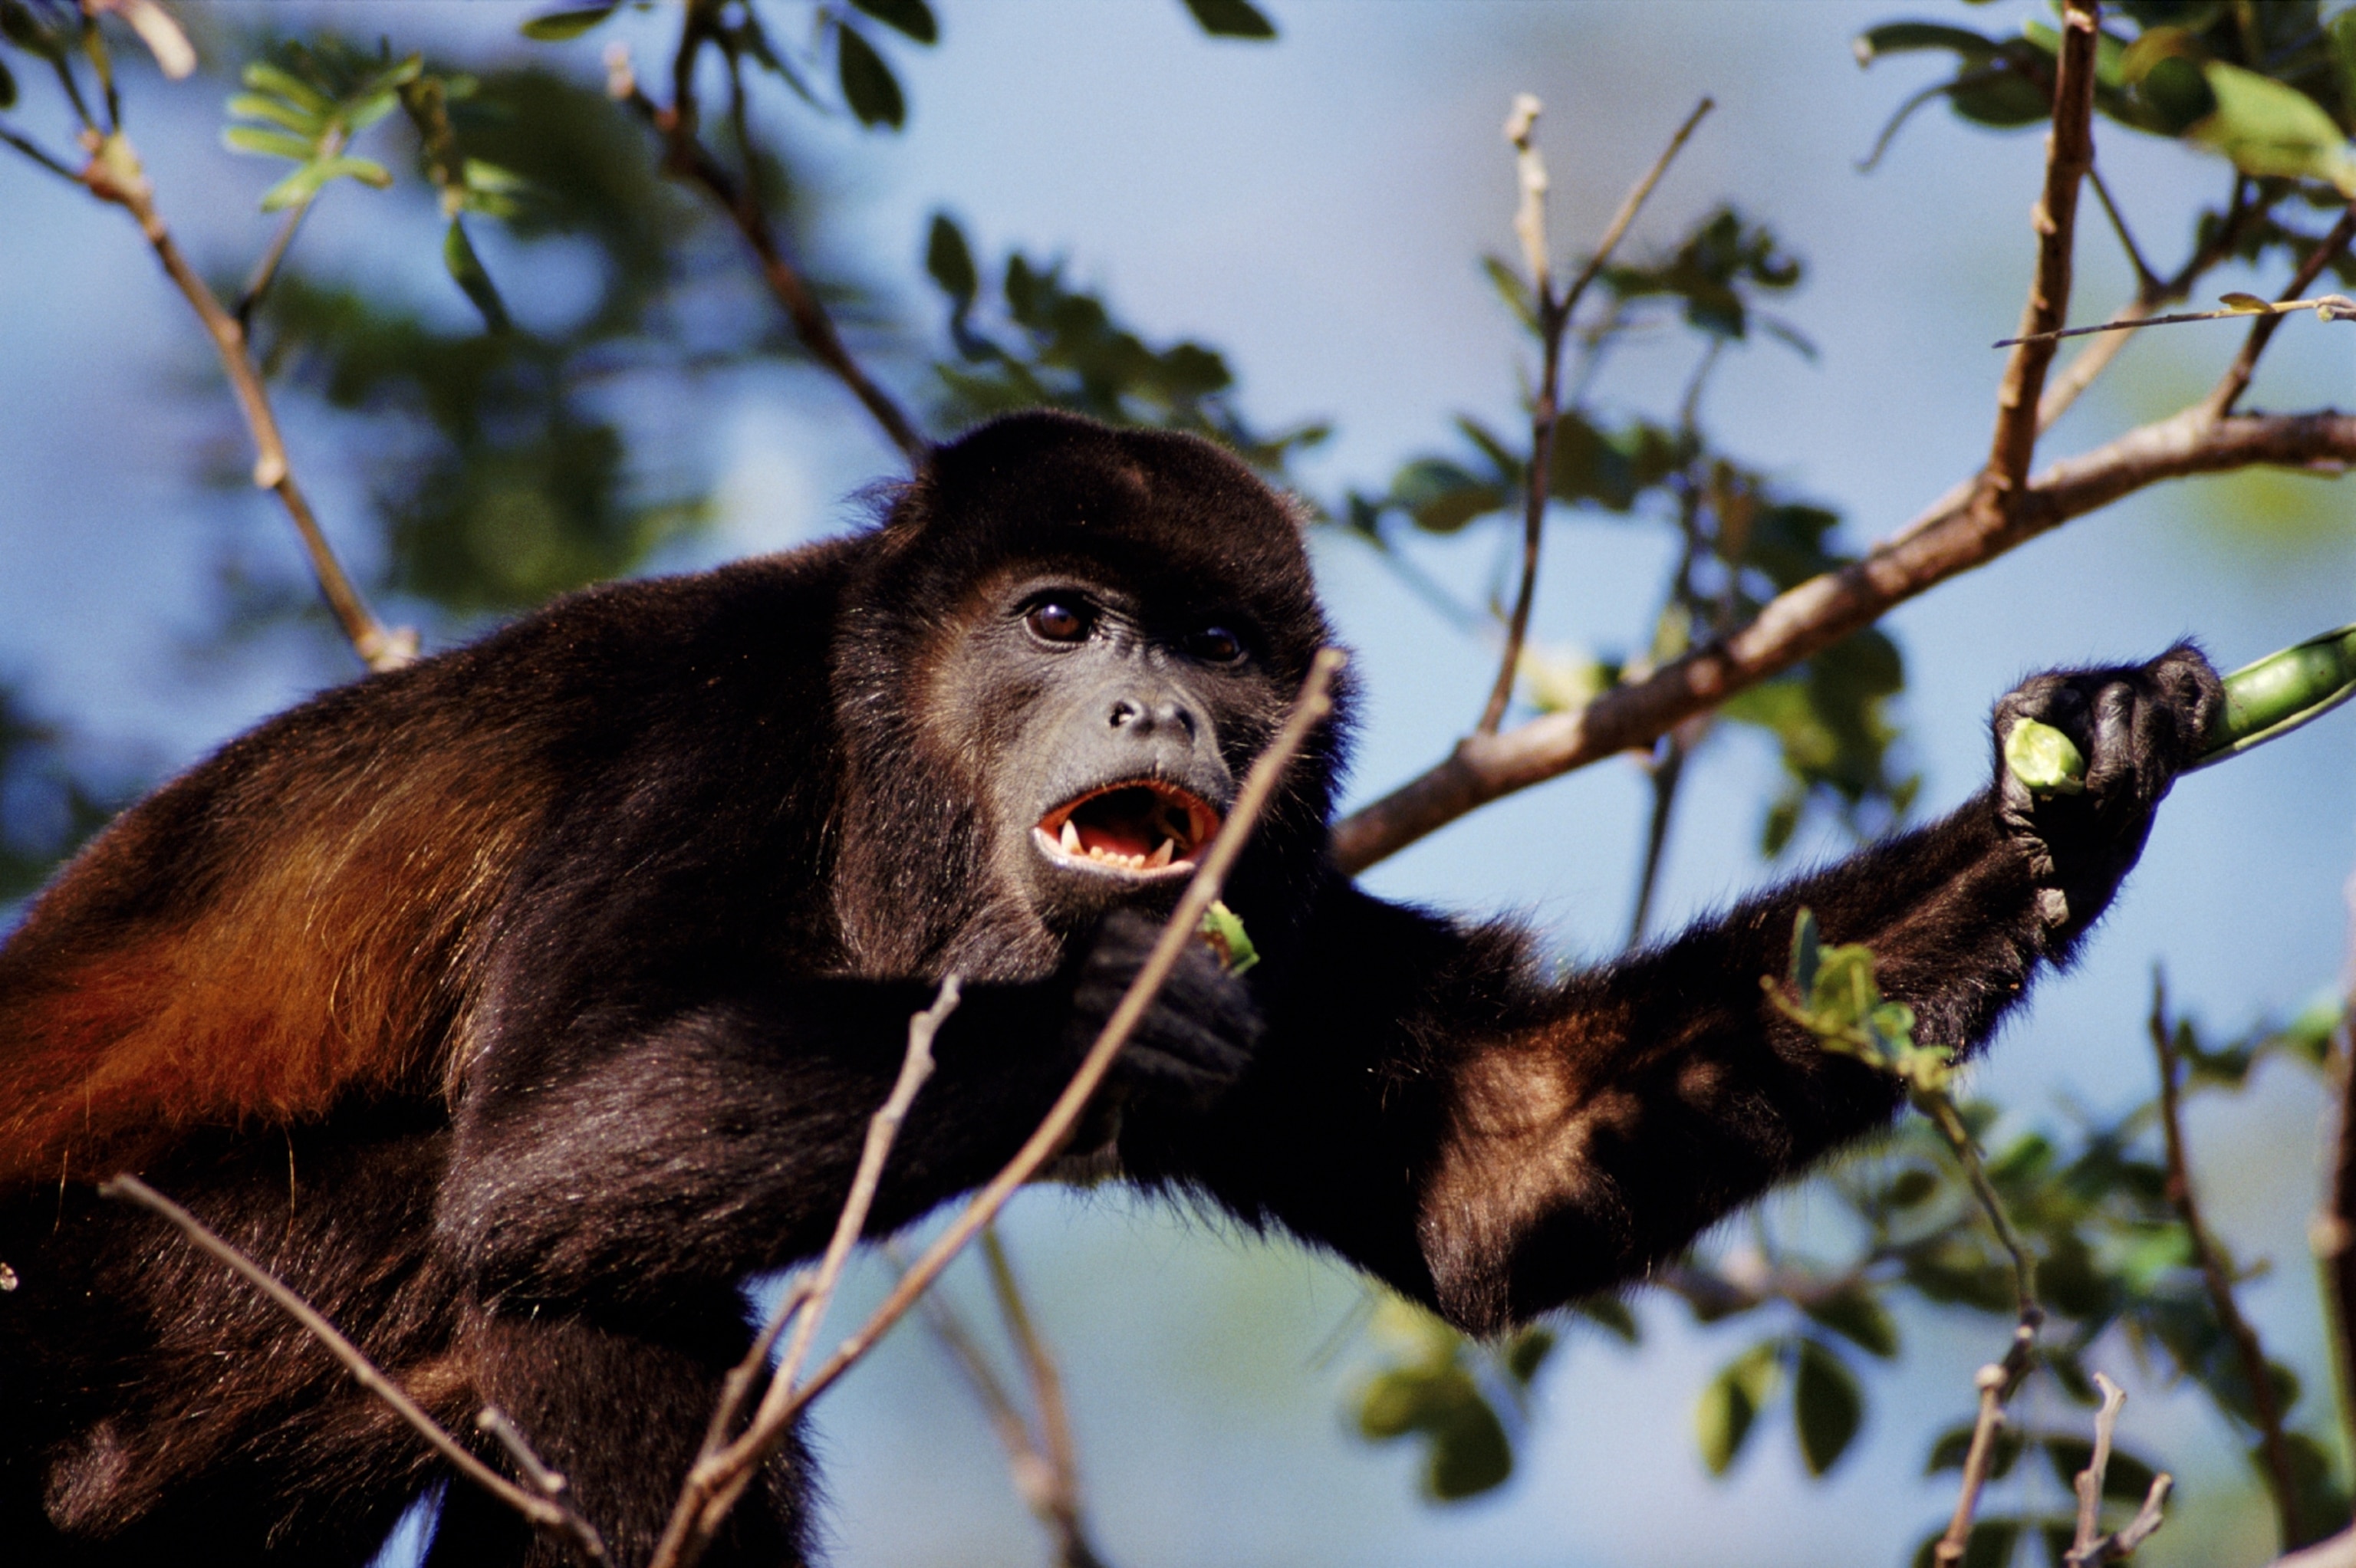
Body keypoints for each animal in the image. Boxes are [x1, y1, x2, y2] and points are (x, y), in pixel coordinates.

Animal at [0, 410, 2220, 1566]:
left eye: (1221, 645)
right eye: (1062, 621)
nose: (1158, 702)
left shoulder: (1282, 898)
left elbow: (1496, 1166)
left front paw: (2076, 790)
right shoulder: (710, 735)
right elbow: (541, 1144)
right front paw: (1101, 1018)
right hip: (82, 1316)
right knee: (528, 1258)